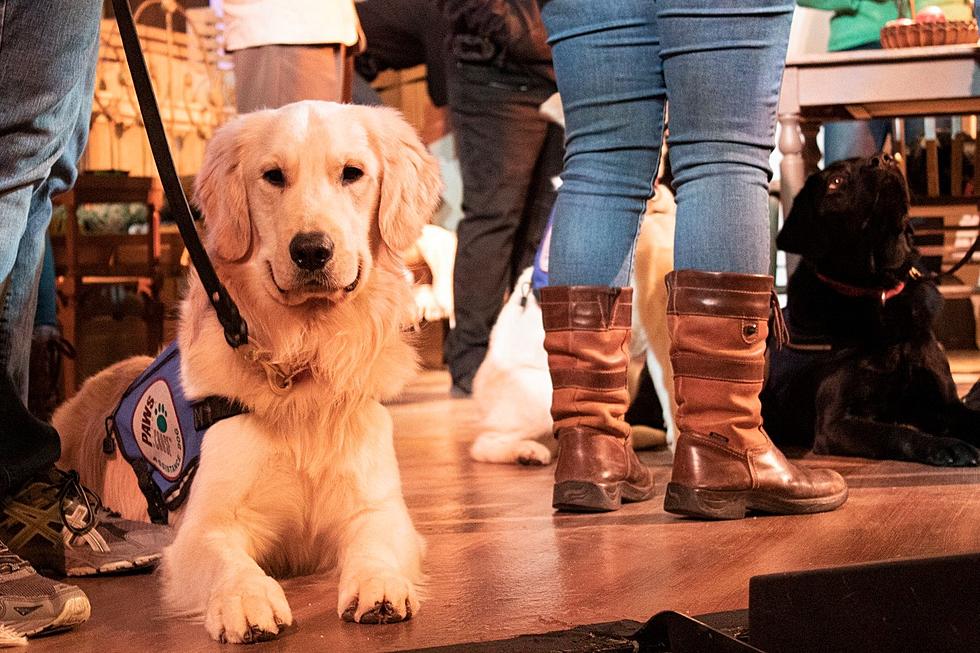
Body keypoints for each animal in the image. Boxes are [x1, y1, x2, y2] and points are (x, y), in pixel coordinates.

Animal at [55, 102, 442, 640]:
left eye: (352, 173)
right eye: (273, 176)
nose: (311, 249)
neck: (304, 362)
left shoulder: (377, 508)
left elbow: (377, 541)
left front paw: (379, 584)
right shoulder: (205, 526)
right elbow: (228, 560)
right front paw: (246, 599)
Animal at [760, 155, 980, 466]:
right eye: (836, 181)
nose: (885, 159)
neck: (880, 289)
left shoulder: (945, 405)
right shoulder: (835, 423)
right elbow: (897, 433)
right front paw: (947, 445)